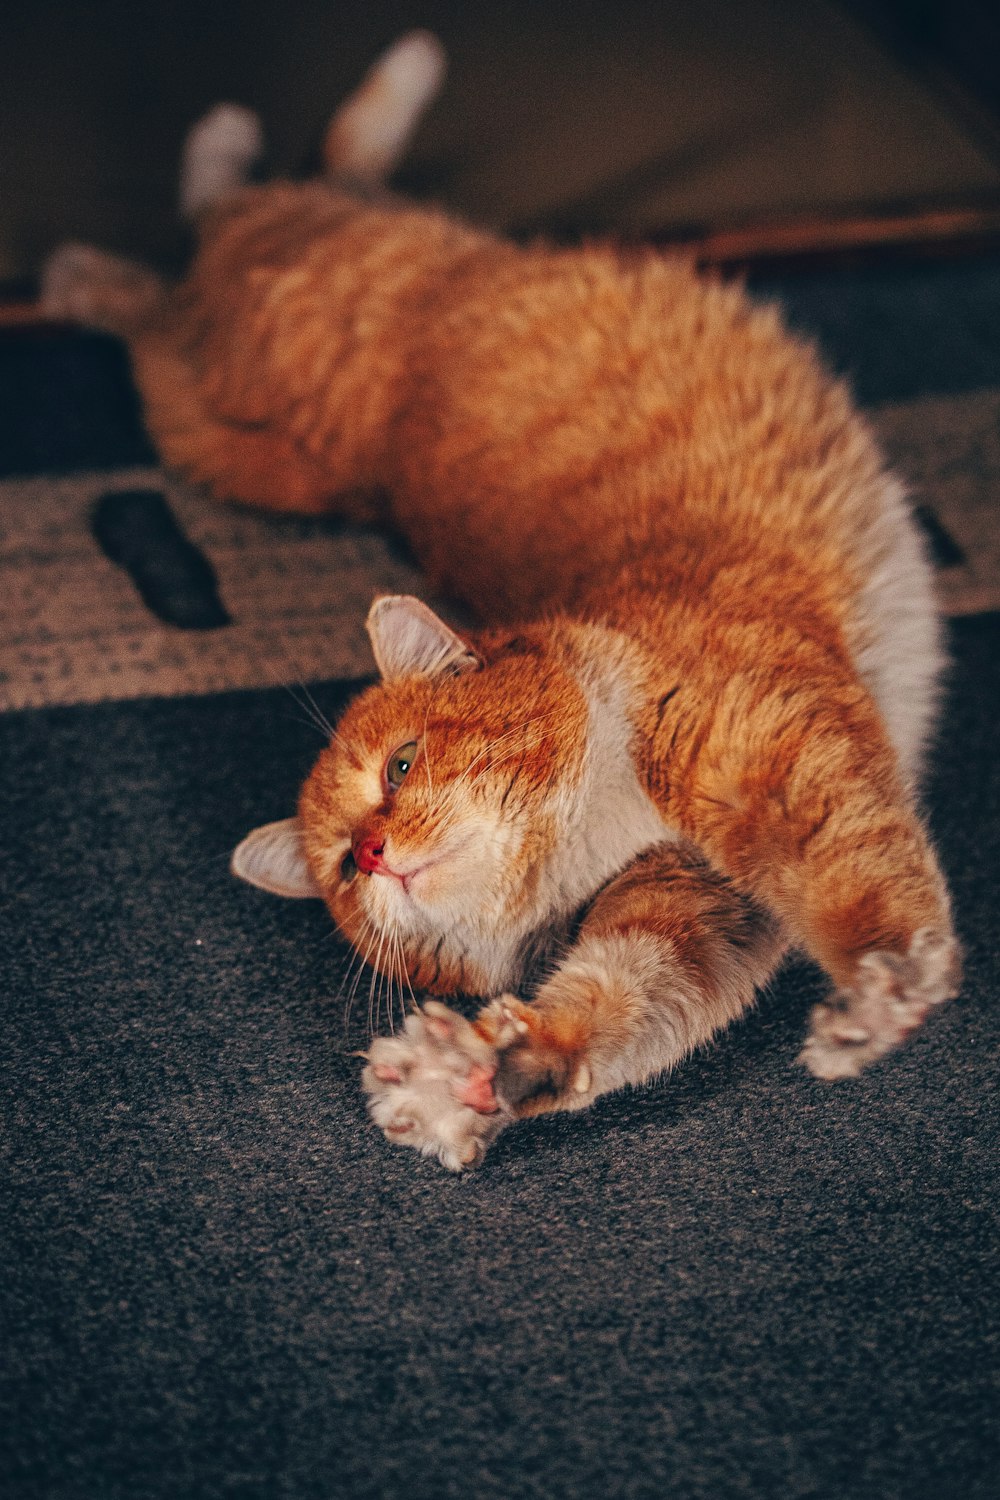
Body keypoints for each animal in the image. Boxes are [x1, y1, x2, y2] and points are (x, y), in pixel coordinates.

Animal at [44, 29, 959, 1164]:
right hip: (227, 422)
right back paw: (98, 255)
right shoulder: (697, 912)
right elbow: (618, 1003)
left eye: (399, 766)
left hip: (290, 310)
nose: (376, 850)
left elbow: (862, 884)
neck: (603, 821)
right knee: (184, 264)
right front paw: (477, 1076)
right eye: (341, 868)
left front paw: (880, 989)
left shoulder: (786, 753)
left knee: (244, 210)